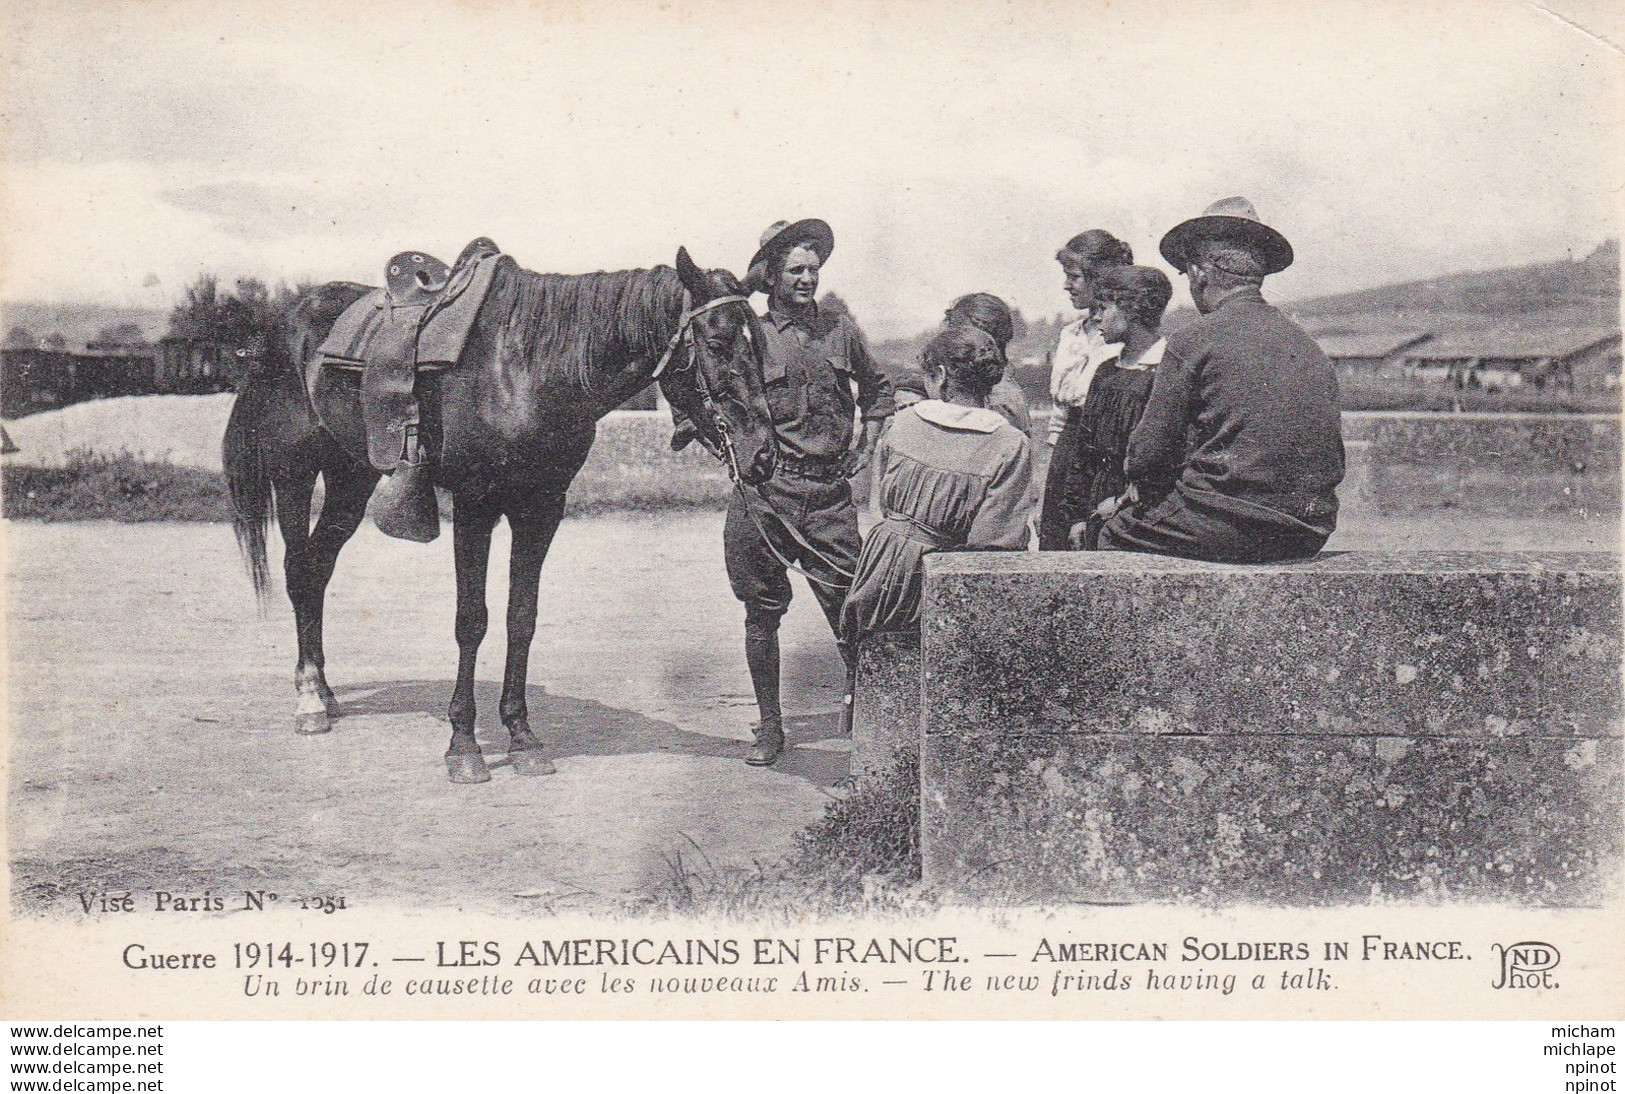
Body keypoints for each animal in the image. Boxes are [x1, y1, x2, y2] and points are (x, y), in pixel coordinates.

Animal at [224, 245, 780, 786]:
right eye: (717, 343)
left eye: (758, 344)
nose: (763, 455)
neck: (526, 368)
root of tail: (282, 323)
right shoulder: (476, 504)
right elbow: (471, 621)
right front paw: (464, 746)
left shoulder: (542, 506)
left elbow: (521, 618)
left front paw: (522, 737)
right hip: (294, 474)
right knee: (299, 570)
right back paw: (309, 699)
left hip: (351, 479)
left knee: (318, 569)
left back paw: (326, 690)